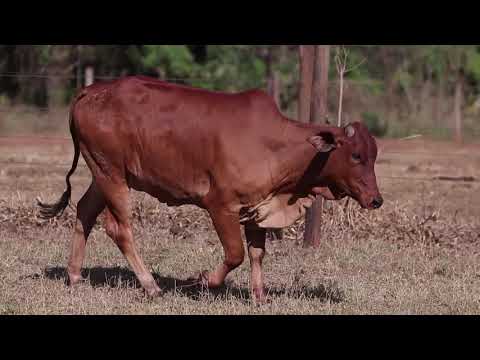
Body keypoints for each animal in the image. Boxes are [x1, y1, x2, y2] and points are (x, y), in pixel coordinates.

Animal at [37, 76, 382, 304]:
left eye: (374, 154)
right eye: (355, 155)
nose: (376, 199)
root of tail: (90, 90)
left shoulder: (257, 208)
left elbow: (257, 253)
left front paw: (259, 296)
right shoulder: (221, 206)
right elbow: (235, 254)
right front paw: (203, 281)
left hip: (103, 174)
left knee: (84, 212)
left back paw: (75, 276)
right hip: (112, 176)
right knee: (119, 228)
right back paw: (150, 286)